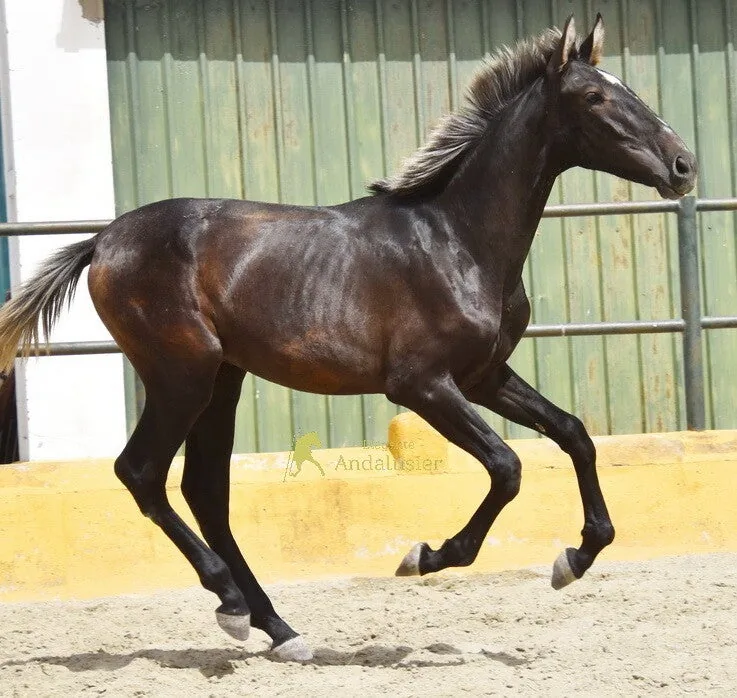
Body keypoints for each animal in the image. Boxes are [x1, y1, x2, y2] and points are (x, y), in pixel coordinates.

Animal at [0, 15, 696, 661]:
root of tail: (103, 240)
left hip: (223, 379)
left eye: (626, 87)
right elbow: (508, 466)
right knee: (142, 472)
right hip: (182, 375)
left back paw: (279, 630)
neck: (456, 238)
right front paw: (427, 555)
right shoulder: (421, 386)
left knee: (205, 491)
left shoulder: (484, 377)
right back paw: (231, 603)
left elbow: (575, 435)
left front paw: (573, 560)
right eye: (596, 97)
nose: (684, 164)